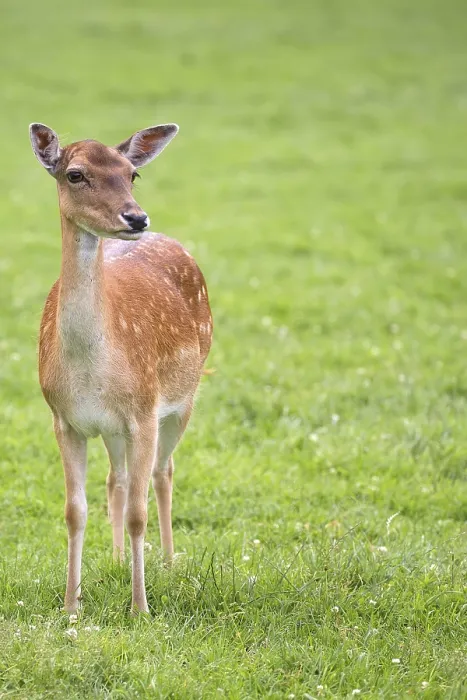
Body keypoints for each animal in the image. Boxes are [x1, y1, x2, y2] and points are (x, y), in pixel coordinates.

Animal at [29, 122, 212, 613]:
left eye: (133, 174)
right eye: (75, 174)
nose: (136, 218)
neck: (89, 373)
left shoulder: (144, 412)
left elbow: (137, 512)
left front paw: (140, 608)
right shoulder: (63, 419)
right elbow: (75, 511)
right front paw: (71, 607)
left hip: (184, 397)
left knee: (162, 473)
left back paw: (167, 562)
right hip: (112, 429)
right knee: (118, 477)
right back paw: (113, 560)